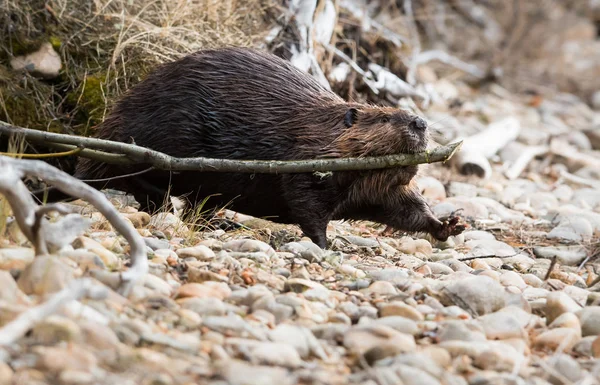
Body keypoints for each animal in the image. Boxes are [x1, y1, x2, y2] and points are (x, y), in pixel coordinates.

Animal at [43, 46, 464, 248]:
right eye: (386, 117)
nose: (421, 122)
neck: (319, 128)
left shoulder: (378, 189)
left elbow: (404, 208)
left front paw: (450, 224)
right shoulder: (305, 161)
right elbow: (306, 205)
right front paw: (328, 244)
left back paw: (221, 221)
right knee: (149, 184)